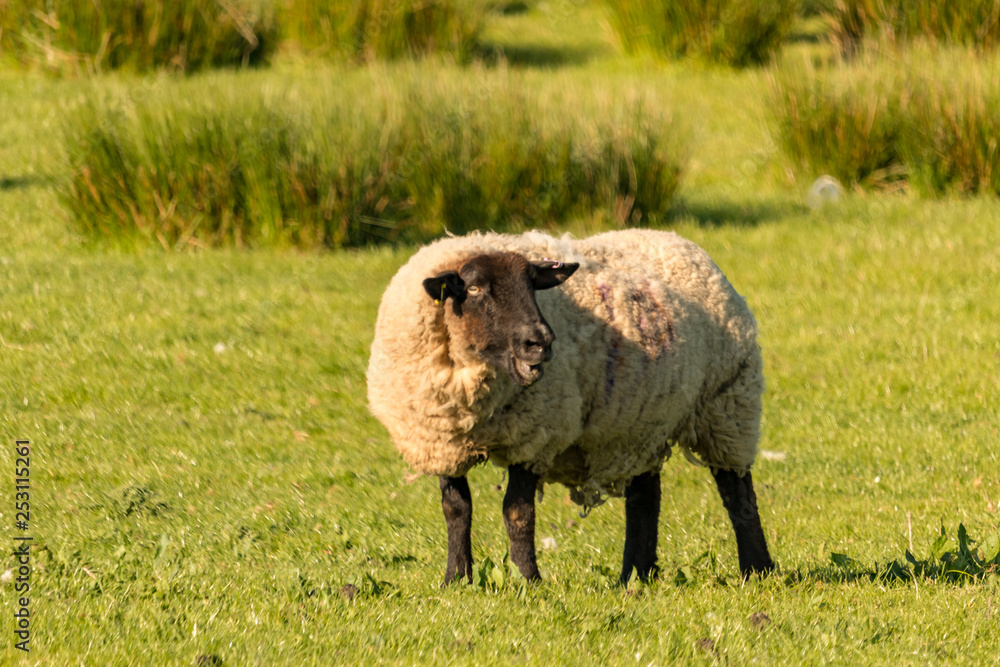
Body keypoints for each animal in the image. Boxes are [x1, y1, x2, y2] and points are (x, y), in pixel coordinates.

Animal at [367, 229, 775, 584]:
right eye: (474, 288)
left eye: (532, 283)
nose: (540, 341)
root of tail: (683, 242)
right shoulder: (440, 440)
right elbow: (456, 510)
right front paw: (456, 579)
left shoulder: (533, 436)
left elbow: (517, 512)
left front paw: (527, 579)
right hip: (643, 422)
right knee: (645, 498)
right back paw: (636, 575)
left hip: (727, 407)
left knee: (738, 494)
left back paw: (757, 569)